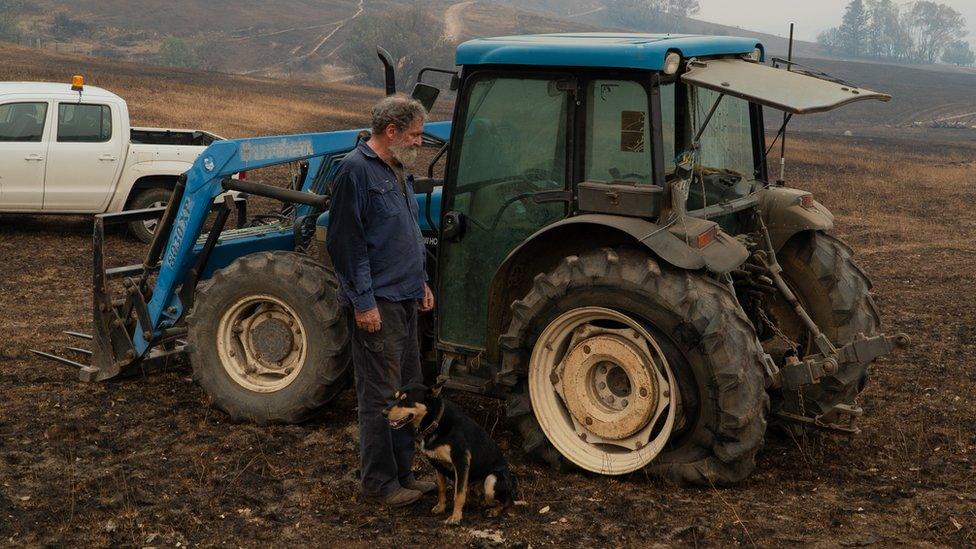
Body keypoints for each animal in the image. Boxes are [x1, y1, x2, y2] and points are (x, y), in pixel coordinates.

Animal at [384, 382, 516, 524]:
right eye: (395, 397)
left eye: (406, 400)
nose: (383, 413)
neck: (435, 423)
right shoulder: (438, 464)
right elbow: (441, 489)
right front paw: (441, 507)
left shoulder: (461, 461)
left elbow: (458, 494)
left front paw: (456, 517)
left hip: (491, 480)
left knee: (507, 502)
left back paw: (494, 511)